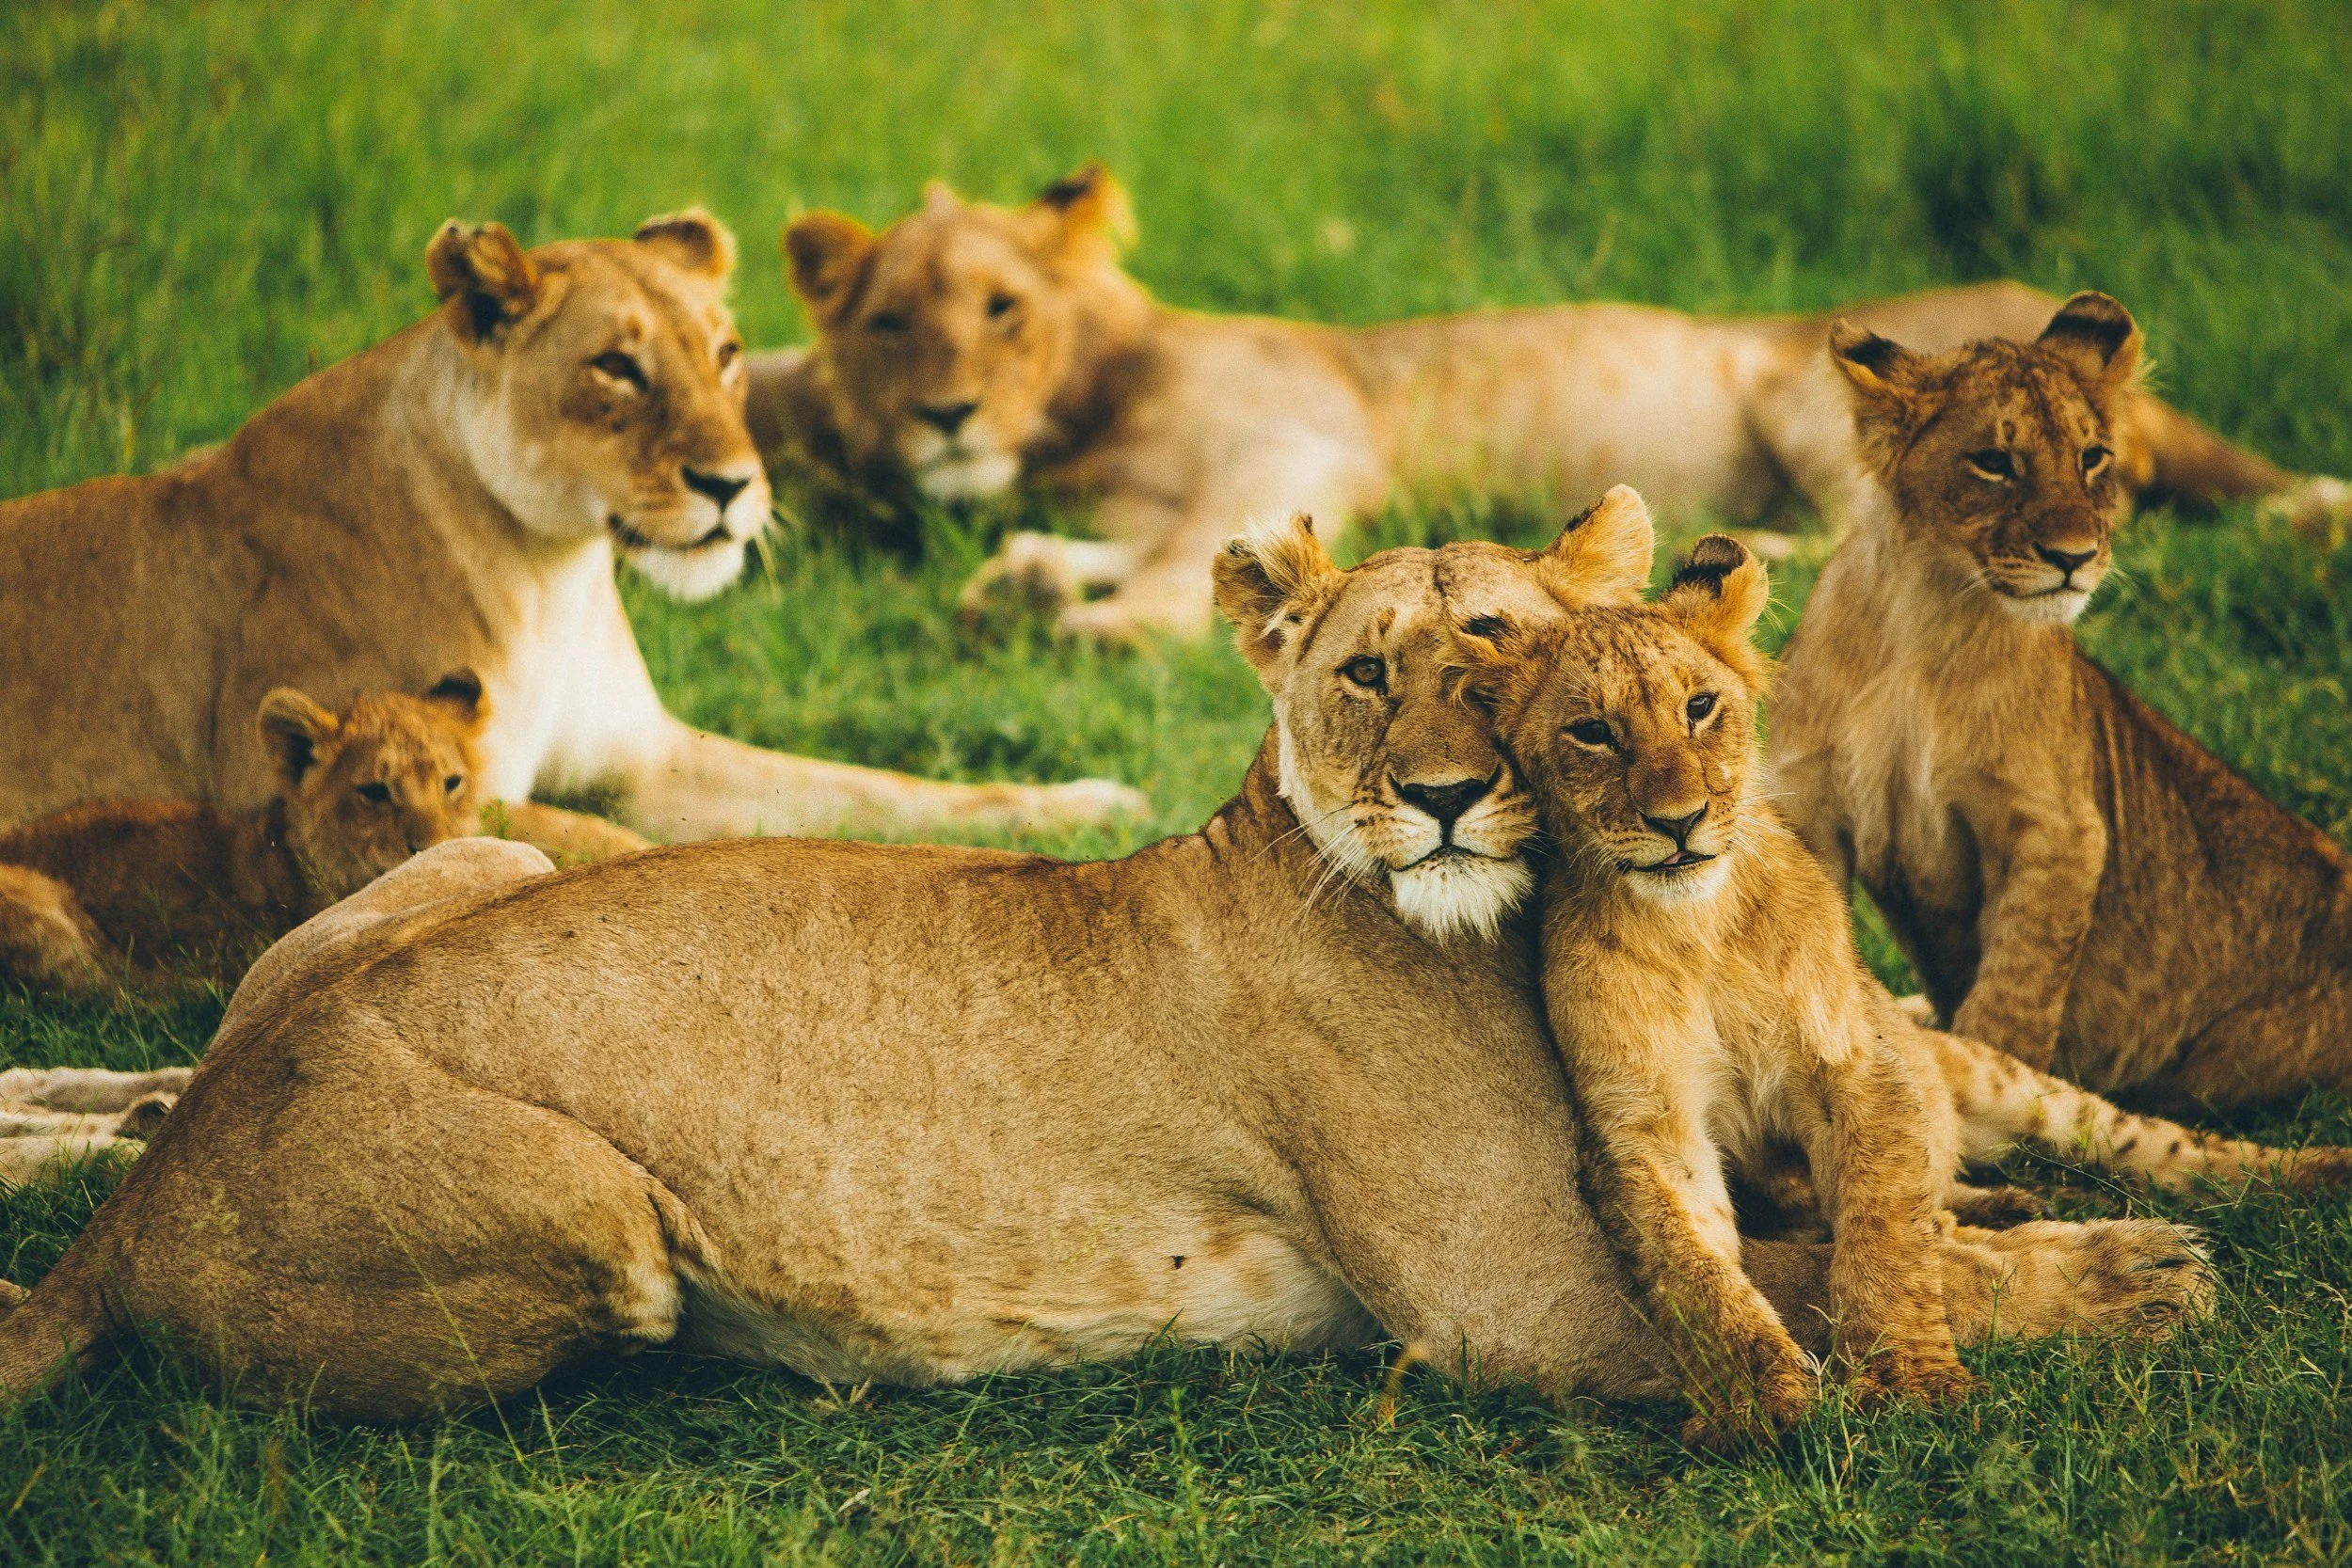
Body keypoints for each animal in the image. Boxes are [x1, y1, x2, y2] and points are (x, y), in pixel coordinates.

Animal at [0, 210, 1143, 845]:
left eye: (726, 352)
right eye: (617, 367)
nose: (732, 485)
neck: (554, 572)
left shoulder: (649, 758)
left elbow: (879, 788)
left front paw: (1090, 804)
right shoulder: (351, 782)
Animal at [0, 509, 2212, 1424]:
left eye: (1500, 649)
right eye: (1367, 674)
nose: (1436, 797)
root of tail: (143, 1203)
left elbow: (1859, 1216)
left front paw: (2025, 1210)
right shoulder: (1514, 1305)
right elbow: (1799, 1284)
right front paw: (2132, 1270)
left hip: (464, 849)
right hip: (601, 1218)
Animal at [748, 163, 2349, 644]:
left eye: (1001, 310)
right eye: (890, 323)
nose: (946, 415)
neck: (1084, 413)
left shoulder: (1295, 440)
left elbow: (1176, 573)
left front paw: (1081, 622)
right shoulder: (1166, 493)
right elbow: (1137, 547)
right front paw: (1023, 577)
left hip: (1802, 388)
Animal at [1465, 495, 2345, 1445]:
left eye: (1700, 707)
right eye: (1592, 732)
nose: (1680, 820)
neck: (1694, 927)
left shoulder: (1857, 1064)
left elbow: (1883, 1230)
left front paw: (1908, 1377)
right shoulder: (1642, 1127)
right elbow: (1693, 1271)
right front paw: (1755, 1402)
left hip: (2006, 1078)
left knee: (2162, 1146)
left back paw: (2312, 1174)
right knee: (1944, 1197)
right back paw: (2016, 1209)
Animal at [1772, 292, 2352, 1112]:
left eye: (2093, 458)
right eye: (1993, 461)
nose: (2075, 557)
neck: (1924, 617)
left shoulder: (2059, 826)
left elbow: (2016, 991)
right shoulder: (1809, 803)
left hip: (2221, 1066)